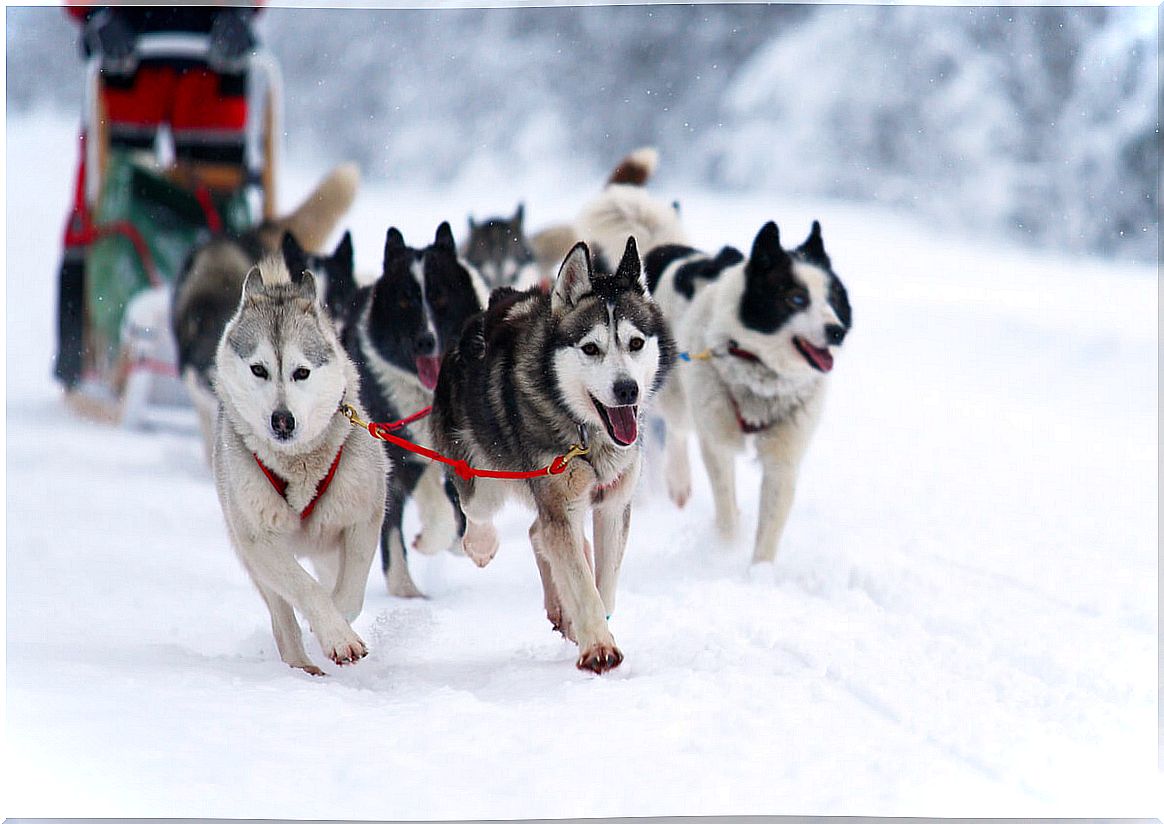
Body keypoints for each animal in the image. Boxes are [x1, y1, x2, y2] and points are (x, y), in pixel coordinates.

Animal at [211, 253, 388, 675]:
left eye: (301, 372)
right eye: (259, 369)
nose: (282, 420)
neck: (300, 466)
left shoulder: (363, 519)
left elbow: (349, 594)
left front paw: (339, 625)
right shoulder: (258, 540)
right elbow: (306, 590)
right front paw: (335, 635)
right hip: (254, 557)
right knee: (282, 616)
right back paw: (302, 665)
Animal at [339, 223, 488, 600]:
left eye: (440, 296)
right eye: (405, 300)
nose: (426, 340)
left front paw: (458, 541)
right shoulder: (396, 455)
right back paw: (405, 587)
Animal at [433, 236, 679, 670]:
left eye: (635, 343)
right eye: (591, 348)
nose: (627, 389)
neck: (588, 435)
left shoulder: (612, 505)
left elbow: (601, 583)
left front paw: (595, 627)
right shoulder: (559, 501)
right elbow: (580, 581)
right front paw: (598, 647)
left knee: (540, 532)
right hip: (485, 476)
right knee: (483, 513)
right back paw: (483, 546)